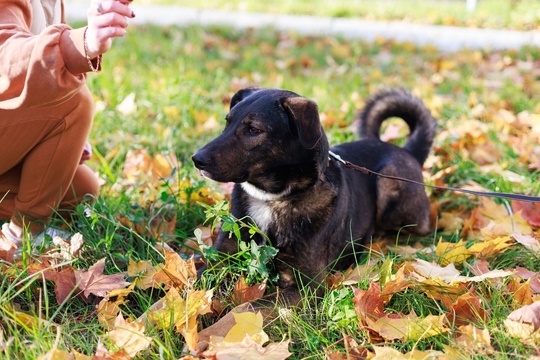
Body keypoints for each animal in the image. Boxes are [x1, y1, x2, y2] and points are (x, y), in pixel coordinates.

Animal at [192, 87, 436, 306]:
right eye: (227, 122)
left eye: (253, 129)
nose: (197, 159)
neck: (271, 198)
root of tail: (407, 151)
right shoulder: (221, 258)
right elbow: (195, 283)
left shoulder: (307, 285)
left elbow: (248, 308)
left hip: (389, 180)